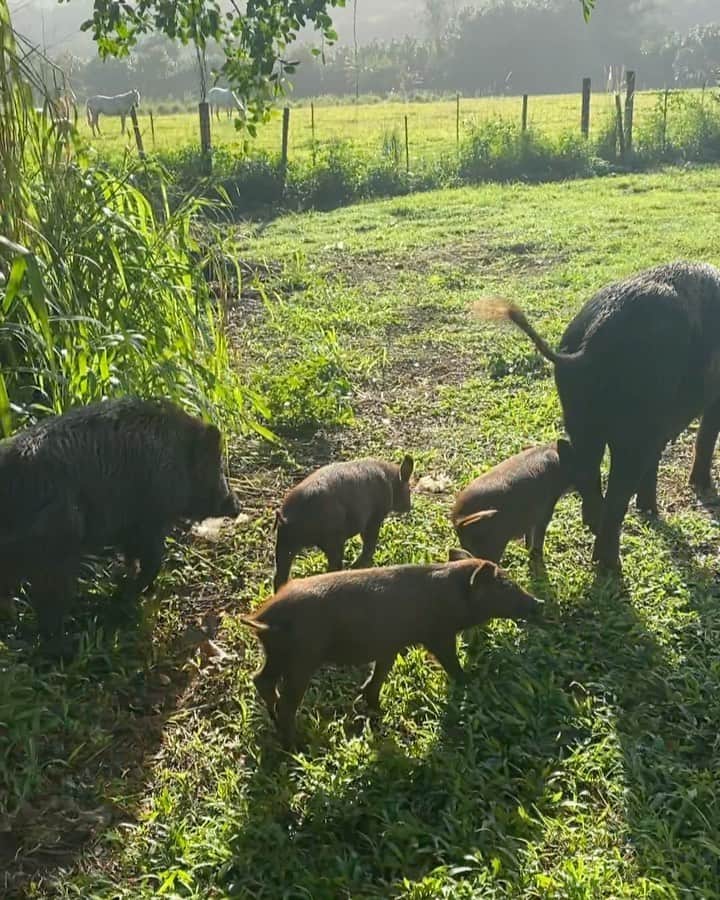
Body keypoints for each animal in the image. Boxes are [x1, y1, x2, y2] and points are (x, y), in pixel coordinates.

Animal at [0, 397, 239, 640]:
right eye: (215, 465)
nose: (236, 505)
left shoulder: (131, 527)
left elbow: (133, 558)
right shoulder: (150, 519)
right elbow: (152, 561)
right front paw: (128, 594)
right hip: (56, 548)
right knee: (49, 604)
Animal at [241, 550, 542, 748]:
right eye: (505, 585)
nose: (537, 603)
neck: (452, 595)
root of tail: (263, 617)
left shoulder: (390, 644)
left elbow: (380, 673)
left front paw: (375, 707)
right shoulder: (438, 635)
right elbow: (450, 663)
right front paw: (471, 681)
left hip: (276, 655)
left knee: (260, 680)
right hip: (301, 659)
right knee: (286, 702)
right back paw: (297, 745)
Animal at [273, 455, 414, 591]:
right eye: (409, 490)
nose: (409, 507)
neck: (391, 481)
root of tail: (289, 517)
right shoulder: (374, 519)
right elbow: (369, 543)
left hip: (284, 542)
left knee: (279, 575)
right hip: (332, 539)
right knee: (334, 566)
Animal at [477, 261, 720, 571]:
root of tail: (592, 340)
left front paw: (650, 509)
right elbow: (706, 436)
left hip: (578, 414)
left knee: (586, 469)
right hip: (628, 427)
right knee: (617, 490)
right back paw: (612, 565)